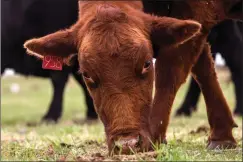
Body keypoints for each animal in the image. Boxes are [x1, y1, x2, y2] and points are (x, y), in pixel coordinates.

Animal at [24, 0, 241, 154]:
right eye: (86, 74)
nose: (127, 144)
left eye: (146, 64)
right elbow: (203, 68)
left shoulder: (196, 11)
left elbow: (171, 70)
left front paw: (154, 136)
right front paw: (222, 135)